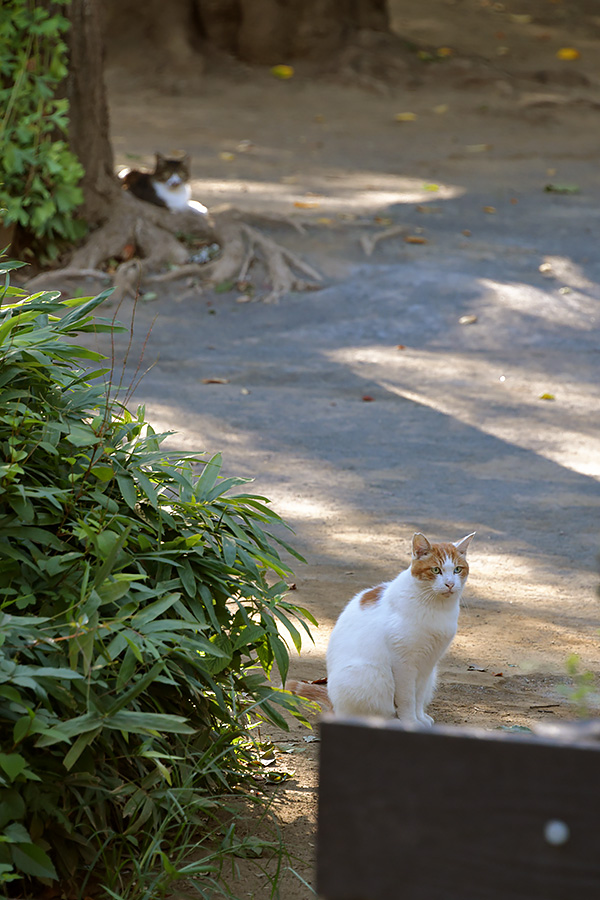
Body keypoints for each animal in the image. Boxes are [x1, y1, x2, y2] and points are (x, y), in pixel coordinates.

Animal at [288, 532, 476, 728]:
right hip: (371, 674)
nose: (450, 584)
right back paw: (393, 722)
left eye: (457, 570)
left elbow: (419, 696)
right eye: (436, 570)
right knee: (360, 716)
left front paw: (420, 718)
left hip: (429, 675)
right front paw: (411, 722)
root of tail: (333, 704)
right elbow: (407, 699)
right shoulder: (404, 664)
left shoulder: (427, 664)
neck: (436, 607)